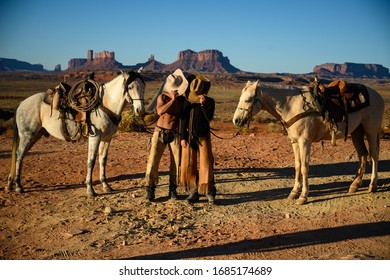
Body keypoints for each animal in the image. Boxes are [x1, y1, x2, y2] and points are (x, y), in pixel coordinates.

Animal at [5, 70, 146, 197]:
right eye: (130, 87)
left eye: (143, 87)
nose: (140, 110)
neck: (105, 104)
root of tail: (22, 103)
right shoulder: (95, 137)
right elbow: (91, 161)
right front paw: (90, 190)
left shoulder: (107, 138)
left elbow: (103, 160)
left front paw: (106, 185)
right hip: (27, 135)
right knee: (19, 154)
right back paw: (18, 186)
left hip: (35, 135)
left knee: (20, 154)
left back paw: (10, 184)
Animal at [233, 80, 386, 205]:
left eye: (248, 100)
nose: (236, 120)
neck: (291, 105)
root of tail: (378, 96)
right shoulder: (295, 142)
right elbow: (297, 166)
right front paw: (294, 192)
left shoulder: (305, 141)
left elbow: (305, 168)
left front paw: (303, 196)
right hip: (356, 132)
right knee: (363, 155)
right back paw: (355, 184)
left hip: (371, 131)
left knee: (374, 155)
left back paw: (373, 185)